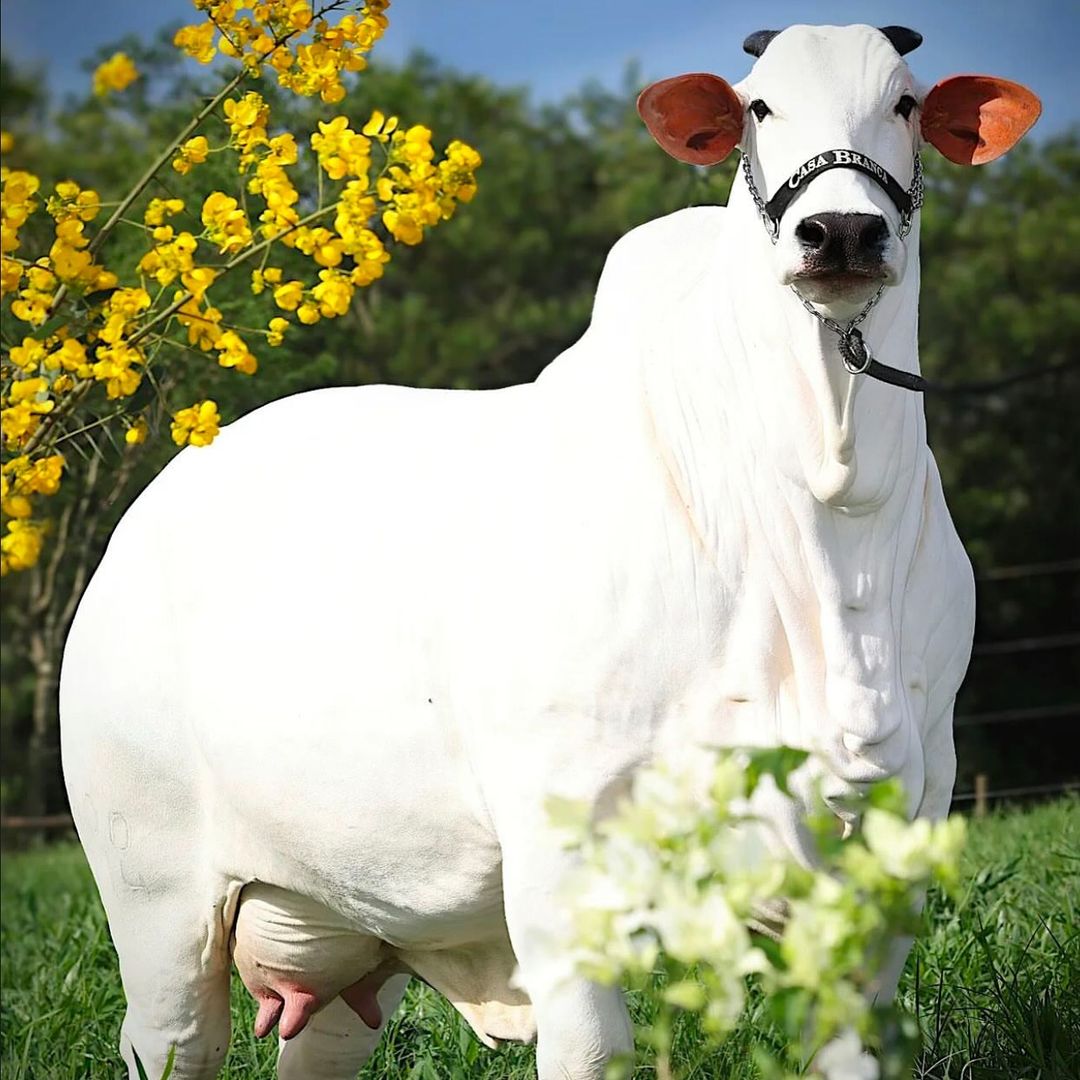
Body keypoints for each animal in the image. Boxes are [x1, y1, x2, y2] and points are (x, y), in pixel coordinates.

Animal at [59, 23, 1039, 1080]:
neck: (829, 510)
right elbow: (593, 1047)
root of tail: (148, 508)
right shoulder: (561, 852)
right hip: (155, 898)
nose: (843, 232)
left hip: (348, 929)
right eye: (759, 105)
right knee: (173, 1033)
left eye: (905, 103)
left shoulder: (893, 844)